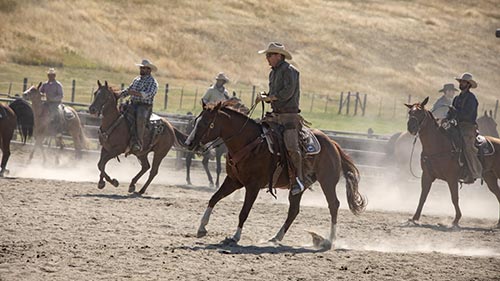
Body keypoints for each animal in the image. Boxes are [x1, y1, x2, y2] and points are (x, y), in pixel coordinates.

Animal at [186, 101, 366, 248]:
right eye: (195, 121)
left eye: (207, 123)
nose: (188, 143)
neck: (248, 143)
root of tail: (333, 143)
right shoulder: (234, 181)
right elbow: (214, 198)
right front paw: (202, 227)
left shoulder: (253, 186)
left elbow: (244, 212)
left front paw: (235, 237)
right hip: (299, 186)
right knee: (294, 210)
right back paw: (276, 238)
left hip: (327, 181)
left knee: (333, 204)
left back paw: (330, 240)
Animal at [406, 97, 500, 226]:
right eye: (410, 112)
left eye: (420, 113)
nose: (411, 127)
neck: (439, 144)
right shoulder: (427, 175)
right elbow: (423, 196)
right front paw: (414, 218)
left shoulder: (452, 178)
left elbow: (454, 198)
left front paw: (455, 220)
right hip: (490, 177)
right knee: (498, 193)